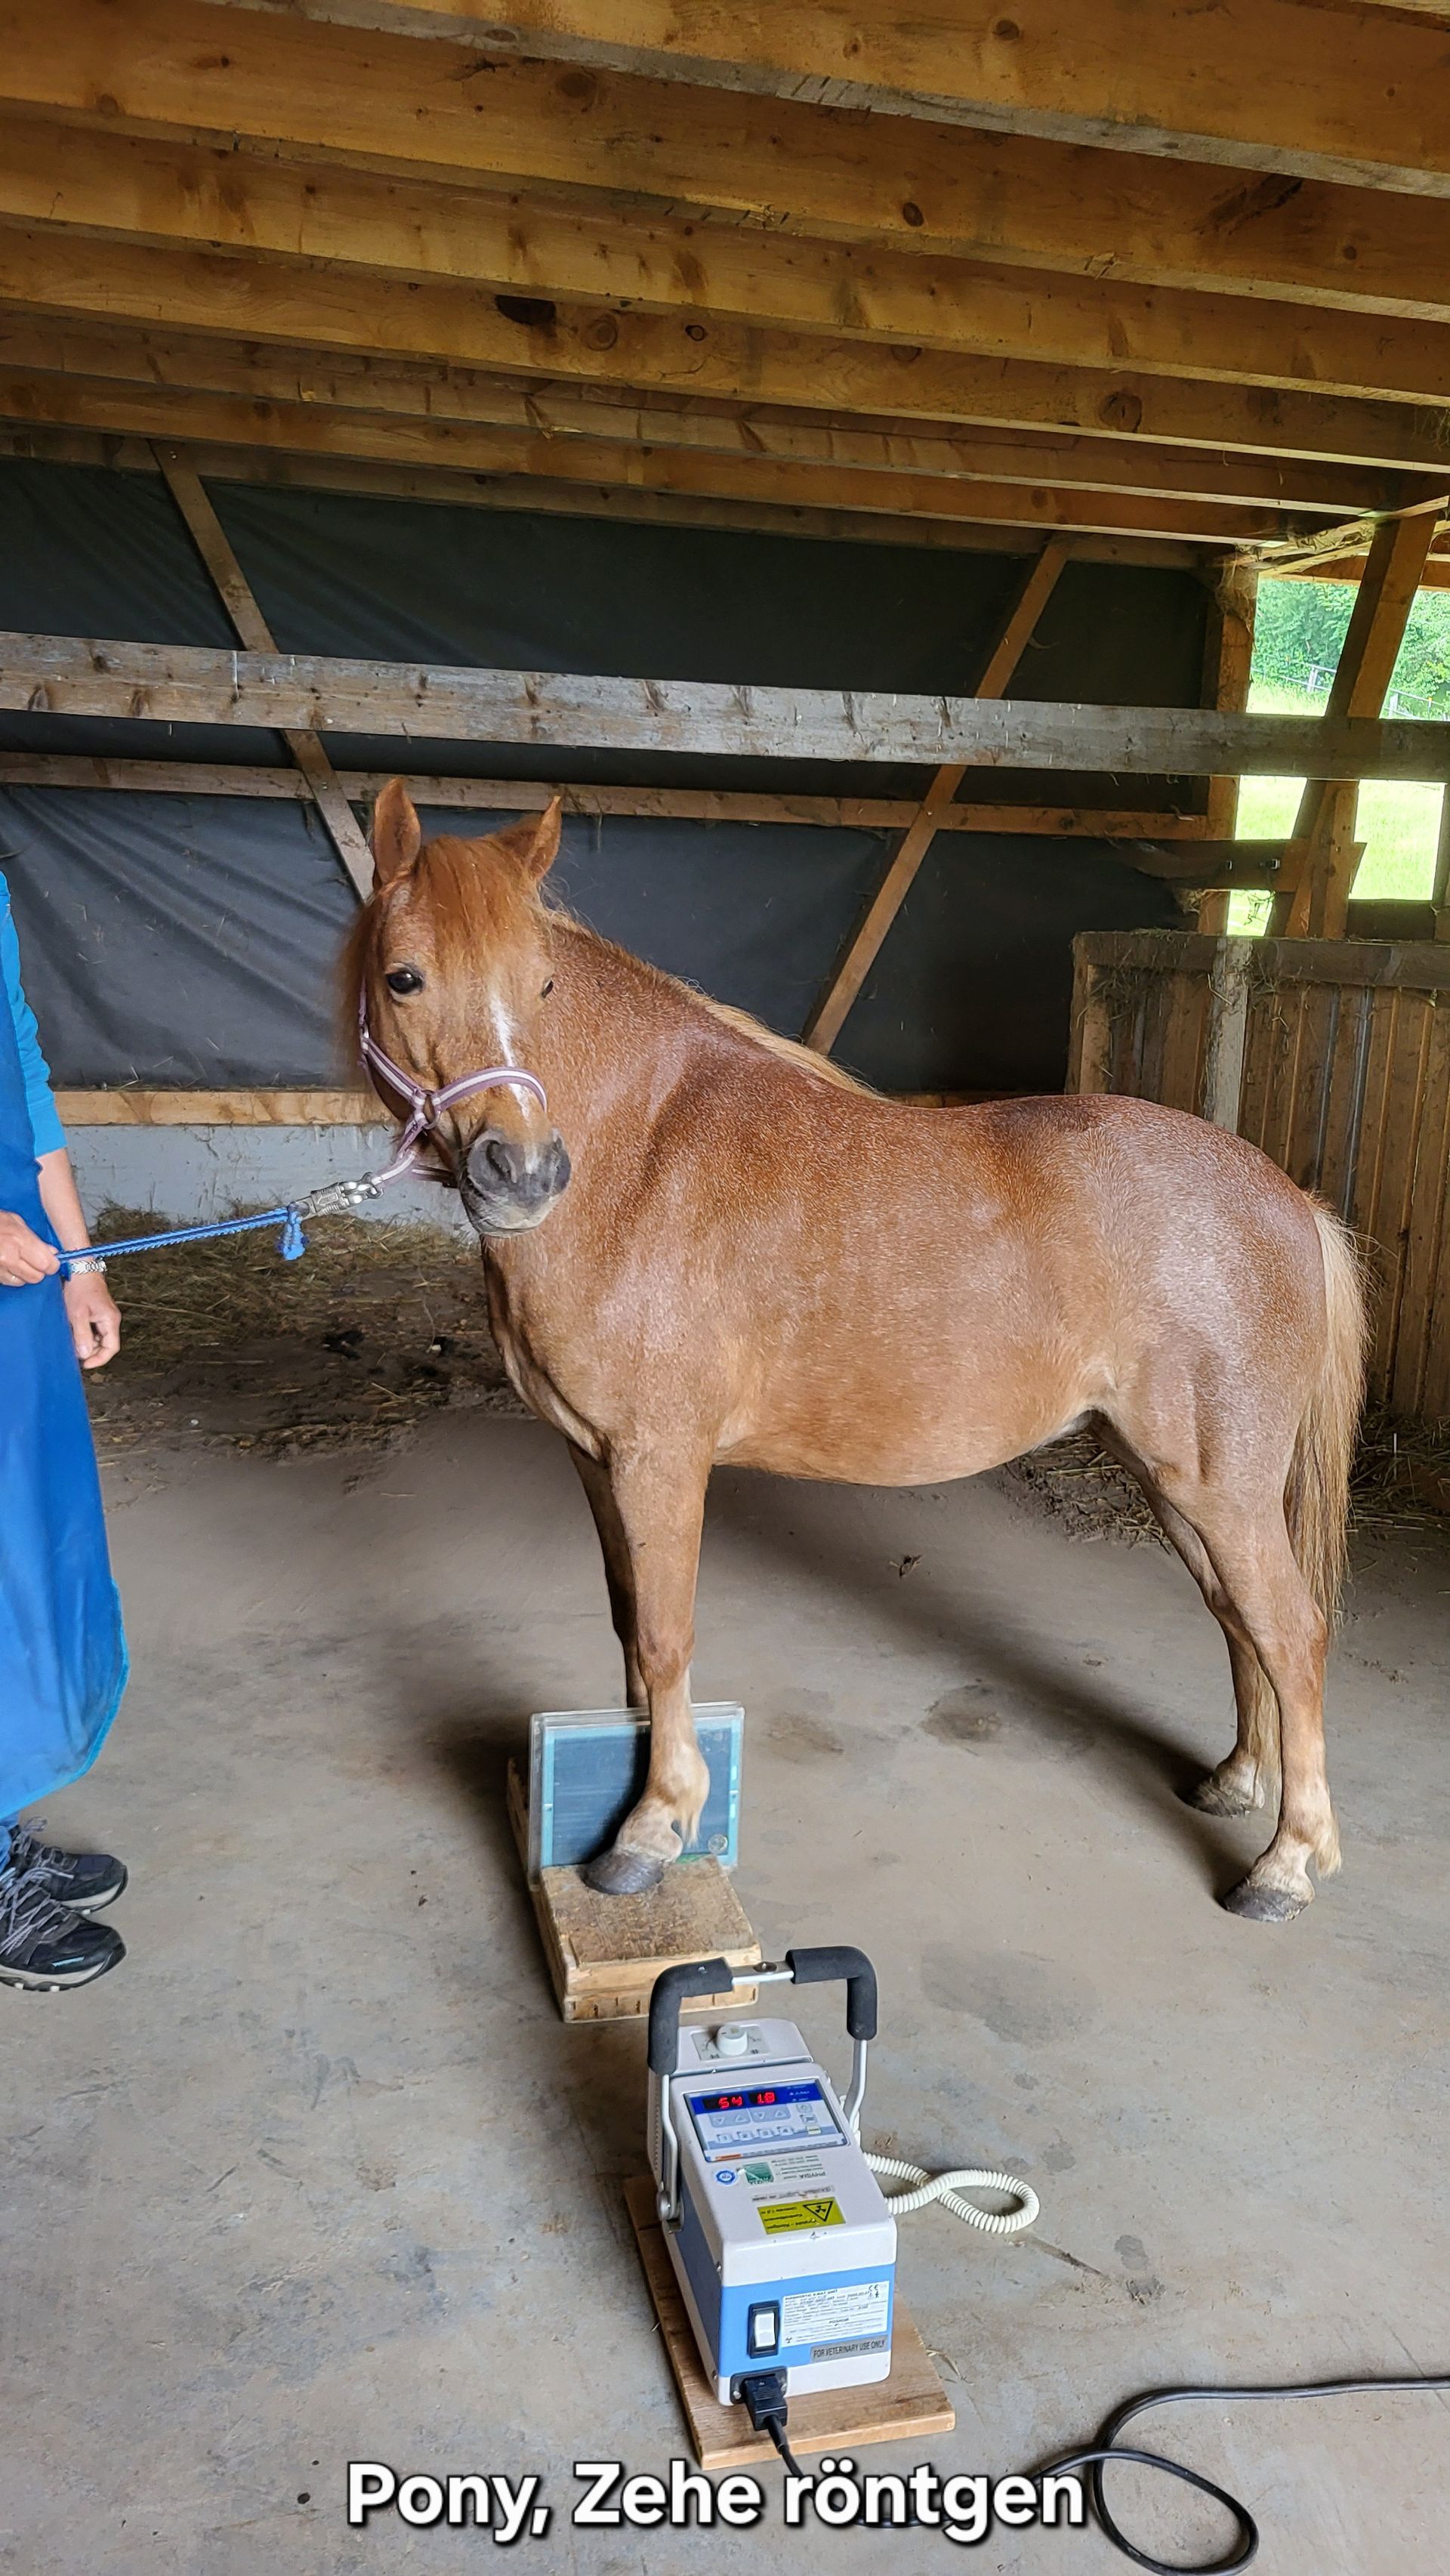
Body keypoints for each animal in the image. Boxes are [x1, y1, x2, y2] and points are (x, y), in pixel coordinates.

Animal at [347, 780, 1367, 1927]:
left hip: (1219, 1485)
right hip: (1170, 1479)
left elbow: (665, 1634)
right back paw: (1239, 1779)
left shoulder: (661, 1461)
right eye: (404, 975)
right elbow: (627, 1626)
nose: (521, 1172)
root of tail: (1289, 1198)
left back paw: (1286, 1862)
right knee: (1240, 1618)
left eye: (545, 984)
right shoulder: (594, 1459)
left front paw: (654, 1830)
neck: (635, 1157)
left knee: (1292, 1631)